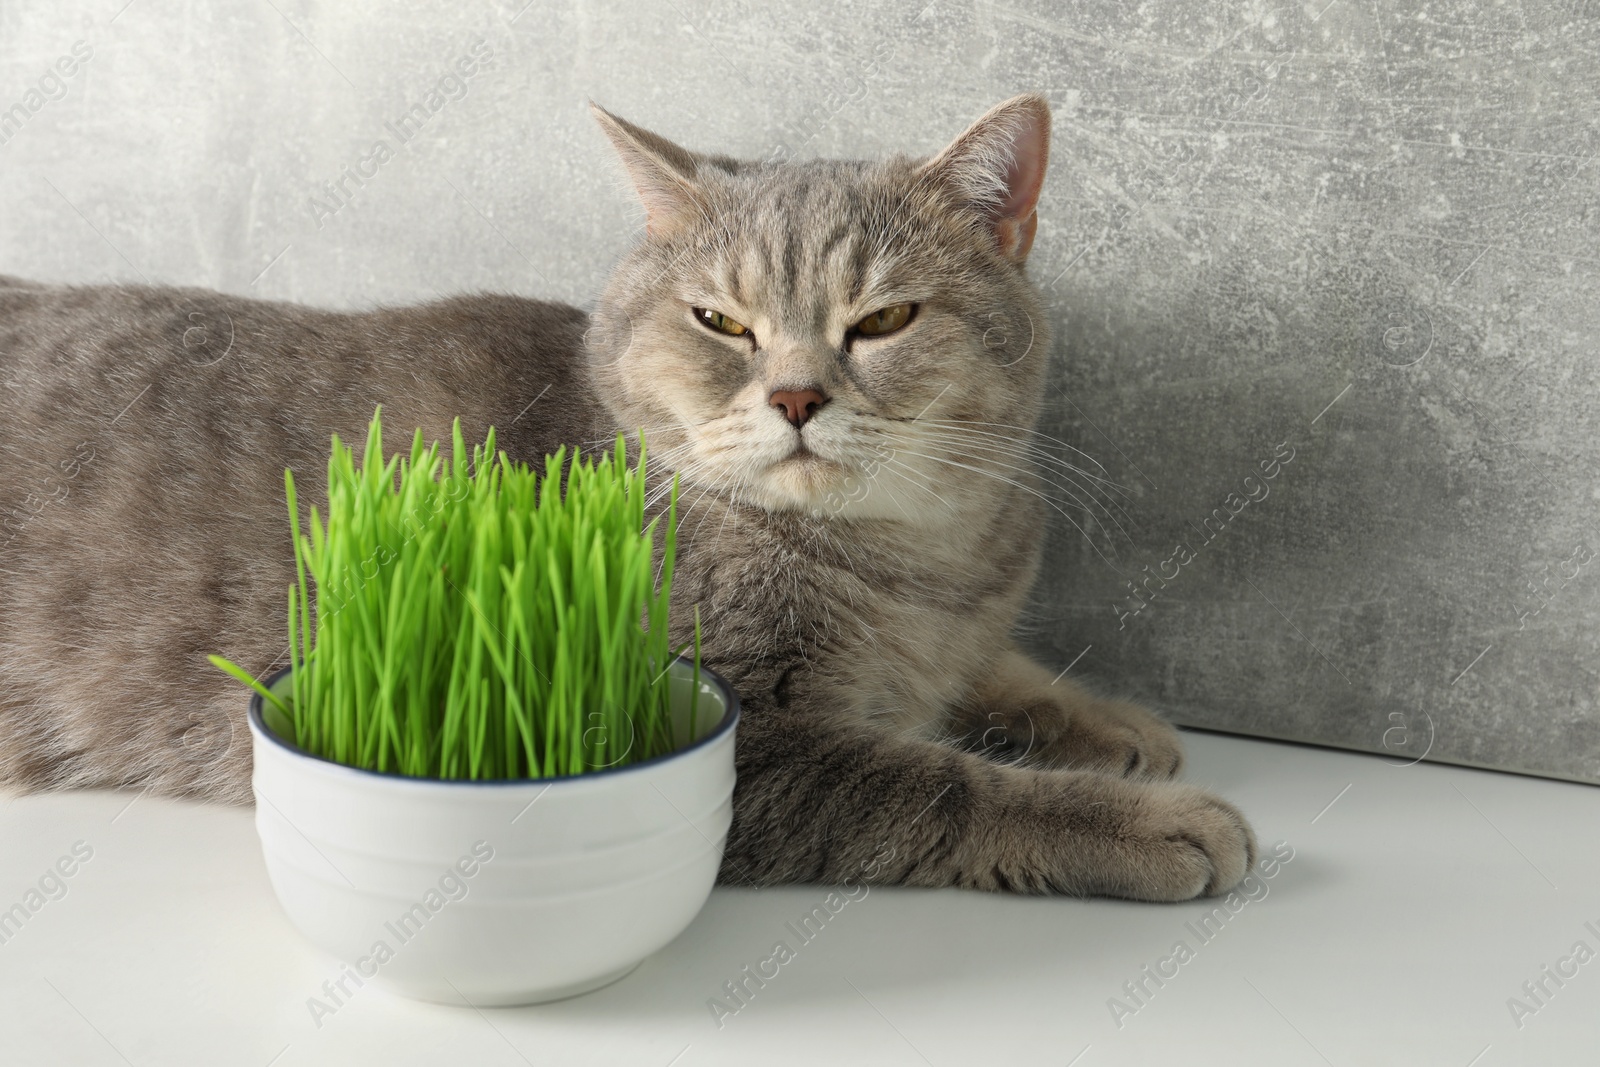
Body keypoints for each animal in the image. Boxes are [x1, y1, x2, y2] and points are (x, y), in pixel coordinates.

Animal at [0, 97, 1254, 902]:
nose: (796, 393)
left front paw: (1108, 719)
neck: (912, 558)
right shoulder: (733, 733)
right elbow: (932, 782)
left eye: (885, 319)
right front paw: (1146, 822)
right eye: (722, 321)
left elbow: (993, 670)